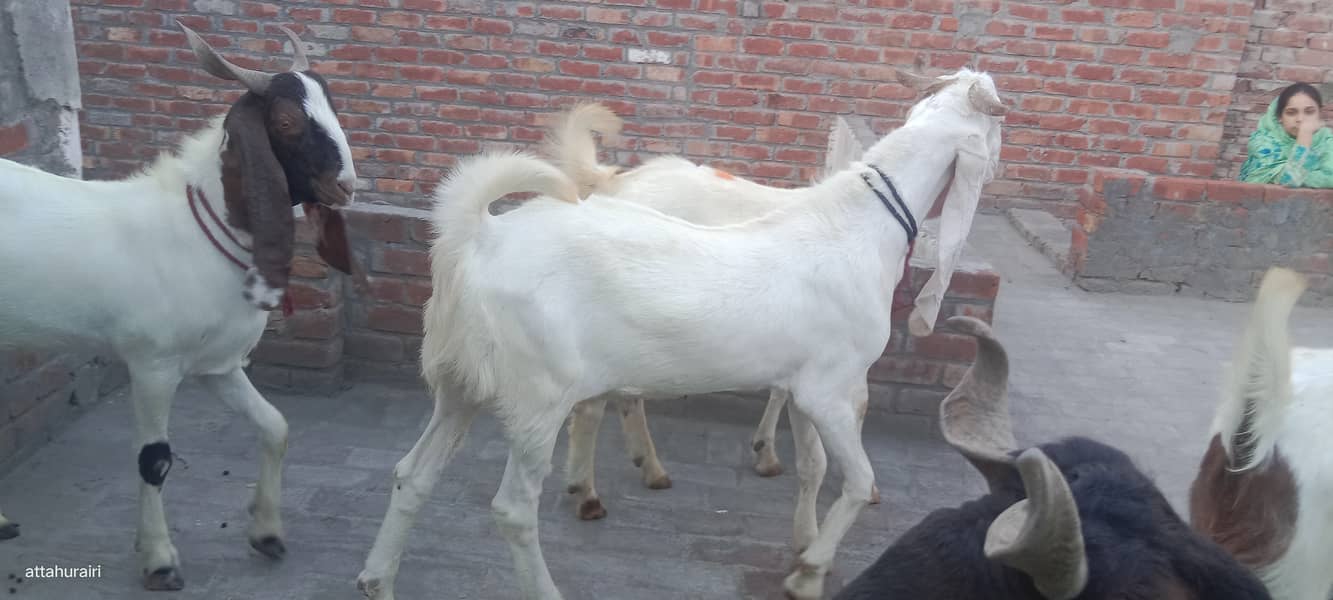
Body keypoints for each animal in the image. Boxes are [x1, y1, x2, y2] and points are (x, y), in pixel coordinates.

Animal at [0, 23, 355, 590]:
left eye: (334, 108)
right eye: (286, 121)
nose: (345, 186)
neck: (194, 230)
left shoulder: (218, 366)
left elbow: (275, 425)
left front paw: (266, 532)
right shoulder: (153, 364)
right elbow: (155, 461)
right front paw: (160, 559)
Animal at [356, 67, 1006, 600]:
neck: (858, 226)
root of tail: (478, 236)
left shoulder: (805, 386)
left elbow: (814, 469)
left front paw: (802, 545)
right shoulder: (831, 388)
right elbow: (857, 479)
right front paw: (809, 572)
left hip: (459, 383)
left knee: (413, 474)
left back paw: (377, 580)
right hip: (538, 395)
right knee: (514, 508)